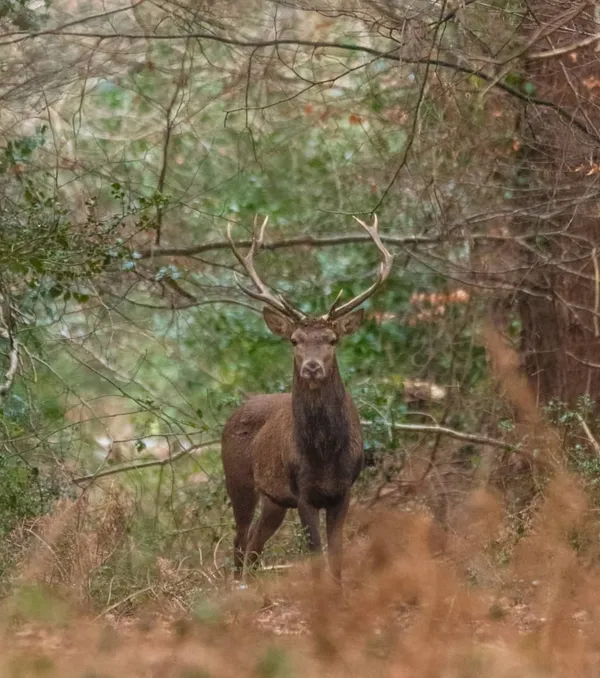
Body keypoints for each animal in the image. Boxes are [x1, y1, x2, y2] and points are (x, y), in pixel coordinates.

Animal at [221, 215, 393, 585]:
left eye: (331, 339)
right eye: (295, 340)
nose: (312, 367)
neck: (325, 452)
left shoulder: (343, 490)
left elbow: (337, 554)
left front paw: (340, 591)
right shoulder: (302, 492)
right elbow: (315, 553)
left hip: (274, 500)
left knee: (255, 542)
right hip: (238, 480)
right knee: (240, 540)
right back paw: (237, 585)